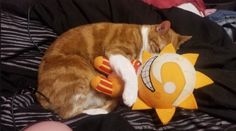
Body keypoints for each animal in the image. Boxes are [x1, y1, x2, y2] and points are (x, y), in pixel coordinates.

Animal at [37, 20, 192, 118]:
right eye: (158, 50)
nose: (154, 64)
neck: (141, 36)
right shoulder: (116, 50)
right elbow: (129, 70)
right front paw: (130, 95)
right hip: (80, 68)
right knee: (68, 113)